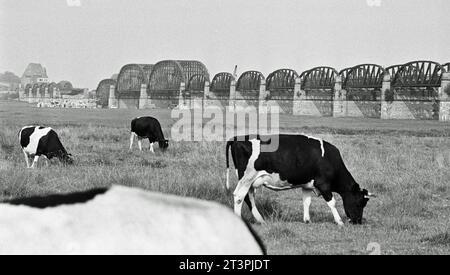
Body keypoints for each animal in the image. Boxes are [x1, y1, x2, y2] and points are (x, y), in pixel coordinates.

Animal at [225, 134, 376, 226]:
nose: (358, 221)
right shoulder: (323, 184)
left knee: (249, 197)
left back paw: (261, 219)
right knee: (239, 196)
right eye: (360, 203)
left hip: (249, 181)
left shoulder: (307, 185)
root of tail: (238, 138)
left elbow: (306, 202)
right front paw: (339, 221)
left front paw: (307, 220)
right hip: (247, 178)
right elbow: (332, 202)